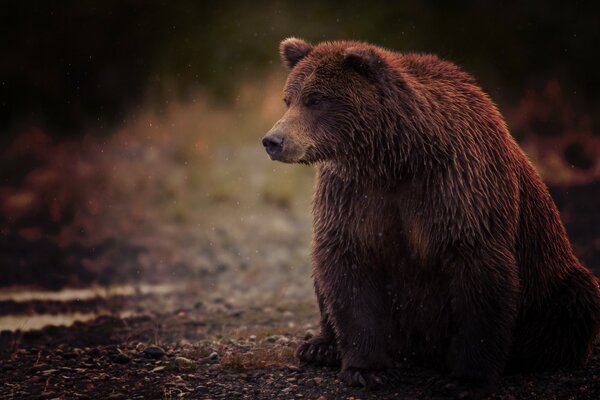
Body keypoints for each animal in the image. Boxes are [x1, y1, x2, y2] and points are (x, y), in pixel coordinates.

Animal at [262, 36, 600, 396]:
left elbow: (478, 275)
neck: (395, 159)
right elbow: (348, 267)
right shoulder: (353, 196)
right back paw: (320, 346)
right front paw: (366, 369)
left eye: (315, 100)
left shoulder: (458, 188)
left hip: (551, 282)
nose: (273, 141)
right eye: (288, 99)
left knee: (573, 305)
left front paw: (466, 378)